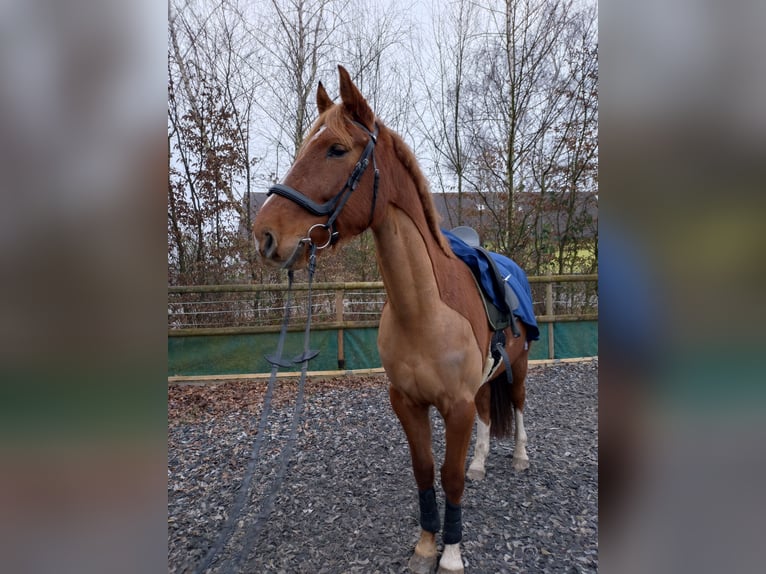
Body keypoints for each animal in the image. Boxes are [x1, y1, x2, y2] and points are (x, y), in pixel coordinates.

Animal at [255, 67, 532, 574]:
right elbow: (424, 470)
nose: (264, 234)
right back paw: (482, 463)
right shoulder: (406, 402)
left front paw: (451, 554)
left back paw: (520, 457)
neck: (421, 311)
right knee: (489, 412)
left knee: (518, 405)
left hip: (517, 366)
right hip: (487, 378)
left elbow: (449, 476)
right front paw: (425, 545)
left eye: (336, 149)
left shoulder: (456, 406)